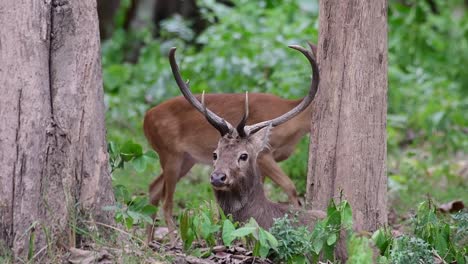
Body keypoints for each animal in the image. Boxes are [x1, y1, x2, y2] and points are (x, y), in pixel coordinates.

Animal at [144, 44, 316, 242]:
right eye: (214, 154)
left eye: (244, 155)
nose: (218, 177)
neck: (296, 129)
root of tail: (145, 119)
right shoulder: (265, 155)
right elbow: (290, 186)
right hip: (170, 153)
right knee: (167, 201)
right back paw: (172, 239)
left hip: (186, 159)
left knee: (154, 188)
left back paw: (146, 241)